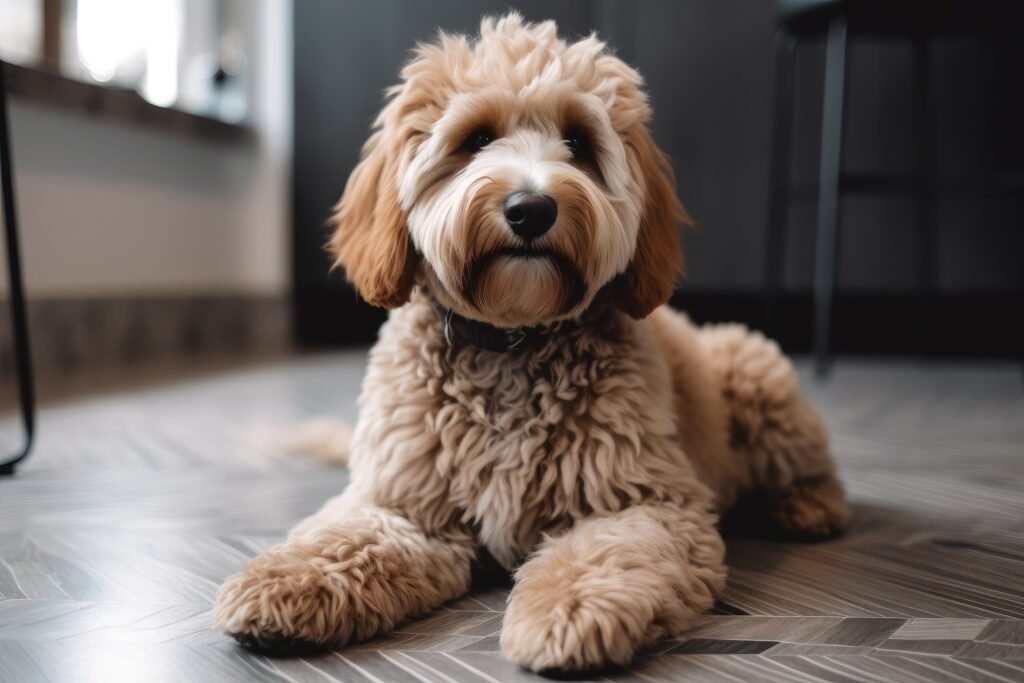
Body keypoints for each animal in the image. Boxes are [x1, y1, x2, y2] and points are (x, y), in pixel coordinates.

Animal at [209, 14, 847, 671]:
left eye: (579, 144)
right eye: (475, 139)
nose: (531, 208)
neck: (510, 342)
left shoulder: (646, 503)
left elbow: (603, 552)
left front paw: (570, 611)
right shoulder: (404, 507)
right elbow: (344, 539)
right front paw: (284, 581)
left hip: (755, 374)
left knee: (816, 469)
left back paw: (807, 506)